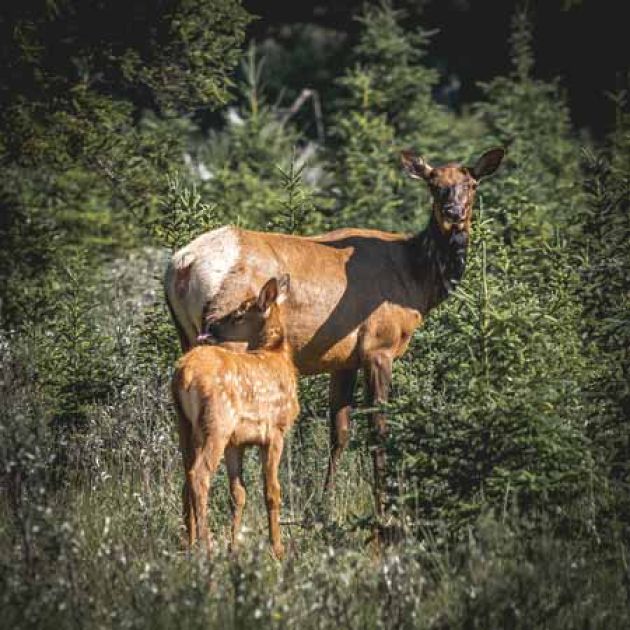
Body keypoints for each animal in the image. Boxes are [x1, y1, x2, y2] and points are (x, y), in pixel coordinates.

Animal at [165, 148, 506, 520]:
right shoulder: (378, 347)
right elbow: (378, 428)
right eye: (433, 184)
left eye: (472, 184)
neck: (417, 282)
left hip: (185, 338)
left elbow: (339, 432)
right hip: (227, 338)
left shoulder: (343, 359)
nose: (453, 213)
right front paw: (384, 506)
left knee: (184, 440)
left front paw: (325, 505)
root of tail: (182, 266)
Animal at [173, 274, 298, 560]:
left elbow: (238, 493)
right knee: (199, 475)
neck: (276, 354)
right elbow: (272, 490)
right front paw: (278, 549)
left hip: (183, 423)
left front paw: (234, 547)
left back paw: (190, 543)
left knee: (186, 477)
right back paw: (205, 546)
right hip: (216, 423)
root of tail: (184, 374)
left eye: (239, 314)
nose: (210, 325)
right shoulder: (275, 431)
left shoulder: (236, 442)